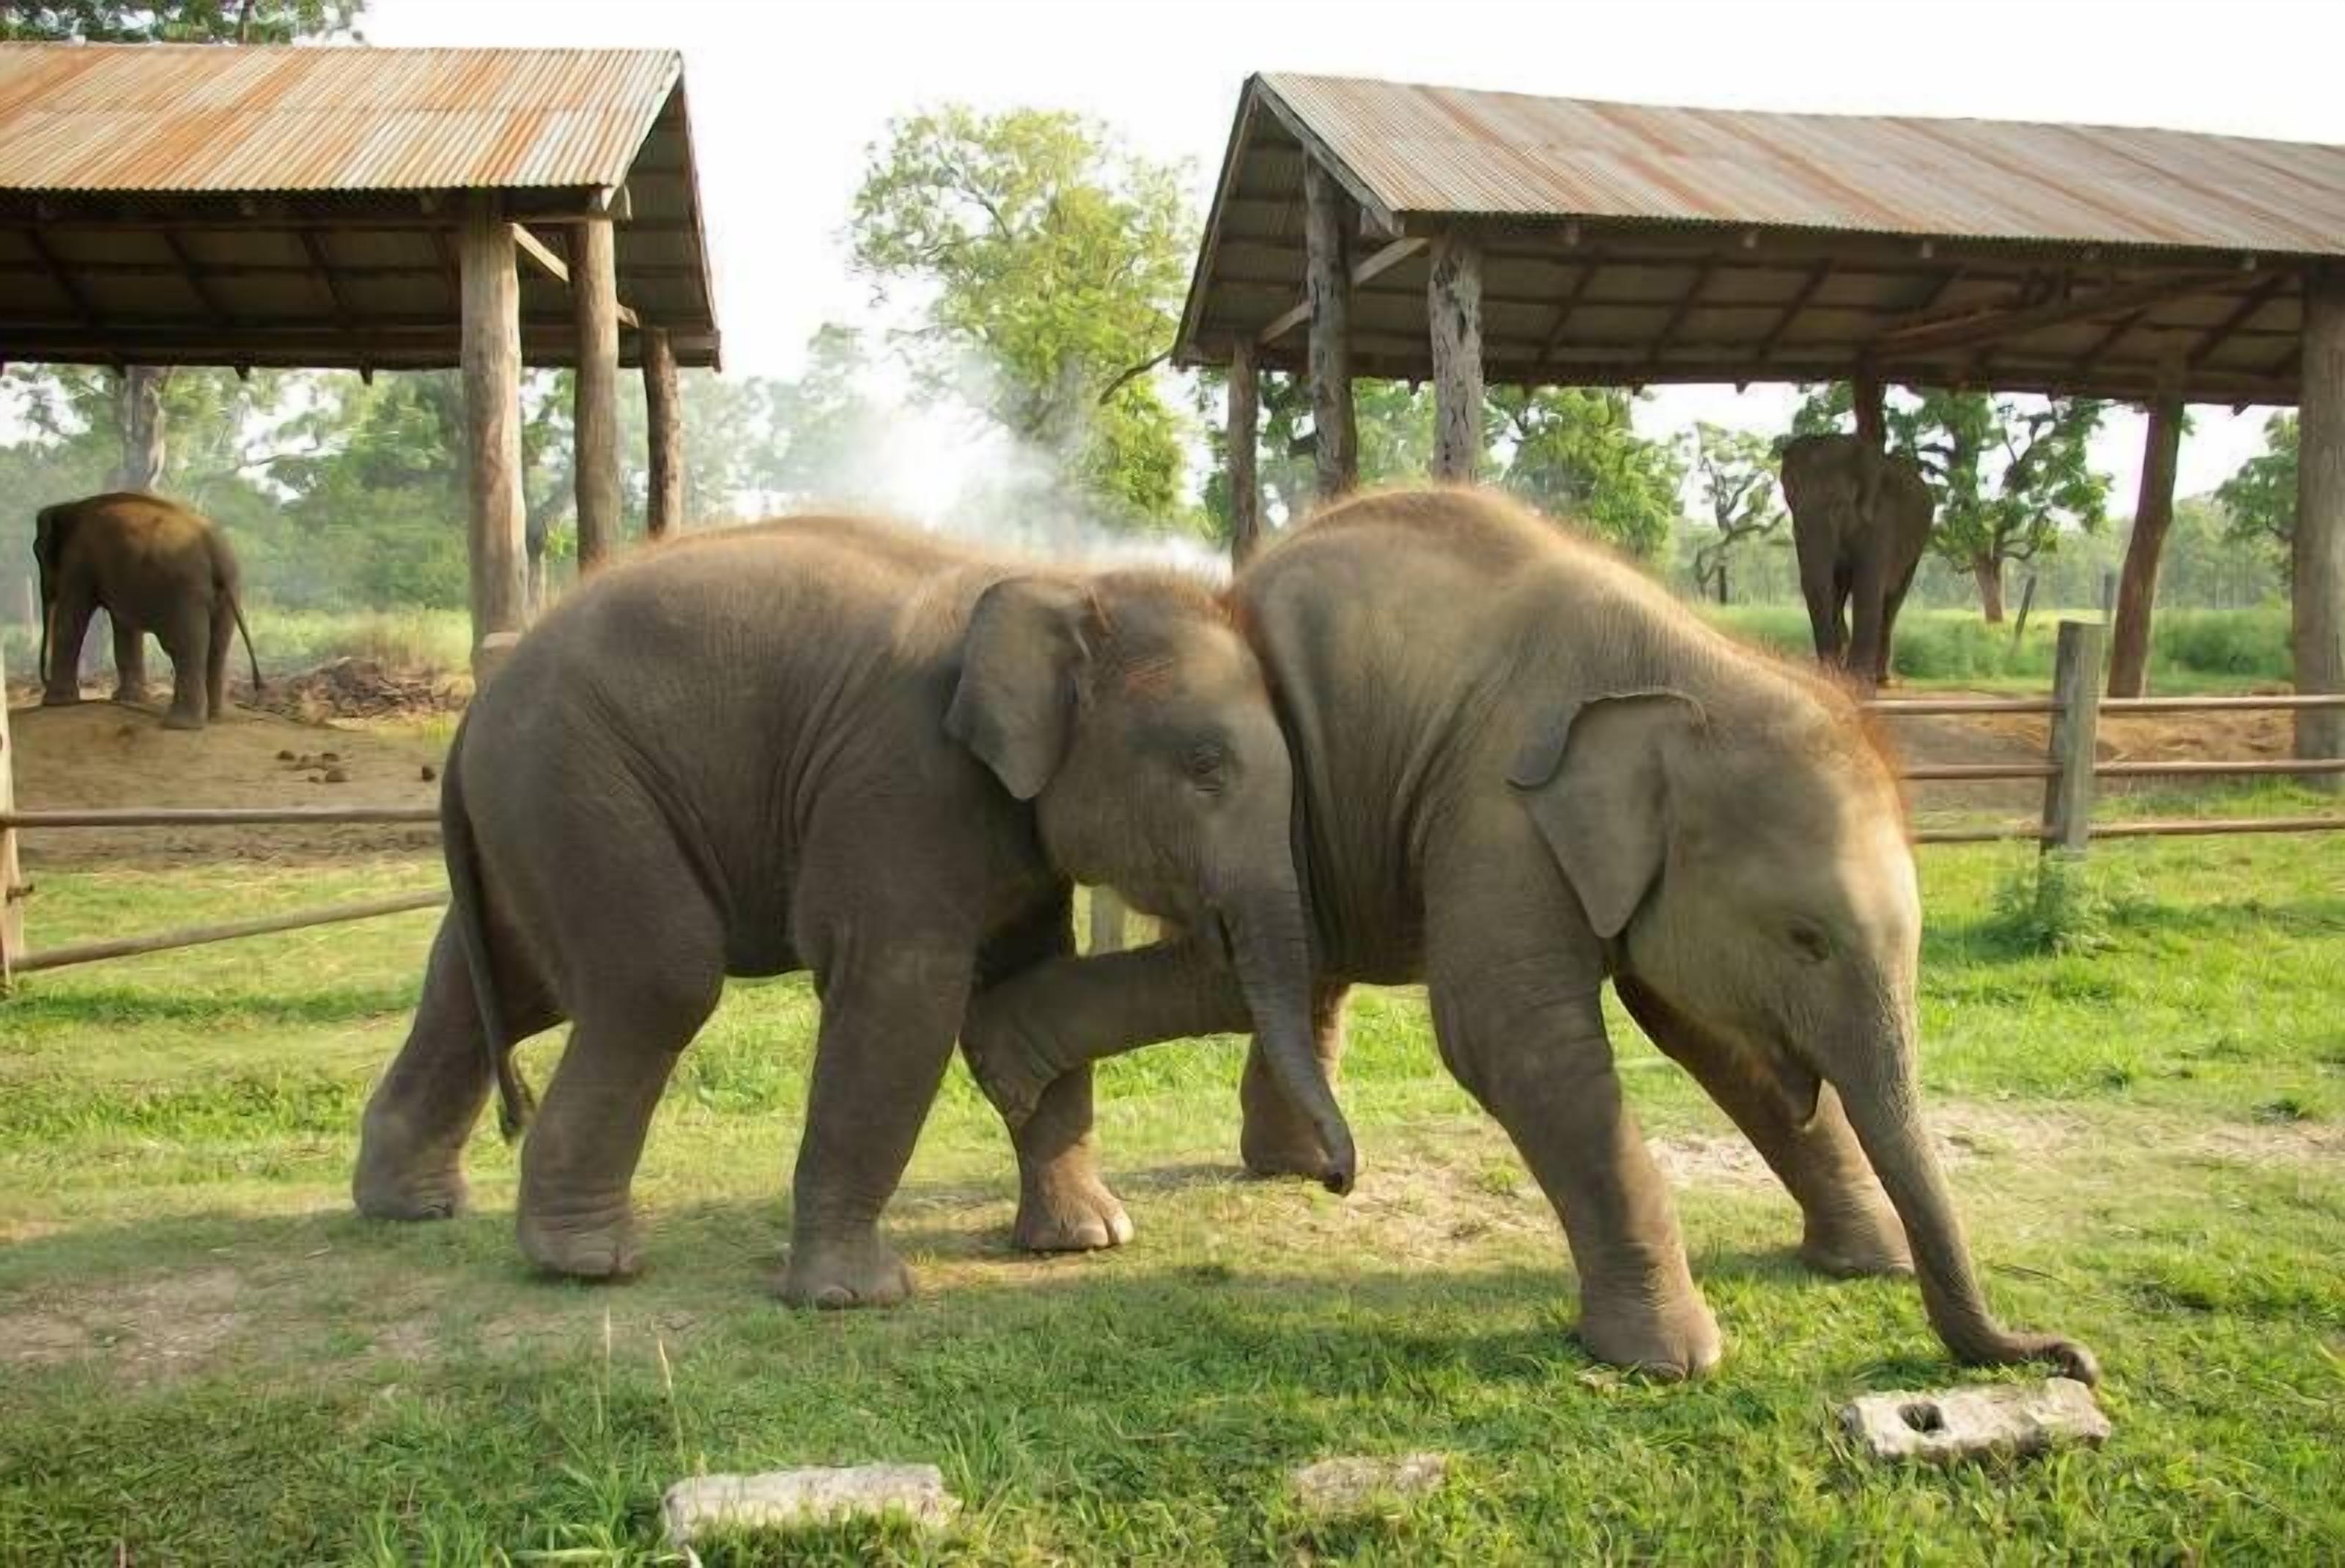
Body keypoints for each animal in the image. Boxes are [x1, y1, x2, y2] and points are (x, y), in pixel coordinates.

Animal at [34, 492, 260, 730]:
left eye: (37, 551)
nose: (43, 680)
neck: (72, 506)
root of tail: (215, 550)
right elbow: (125, 627)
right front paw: (129, 699)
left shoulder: (79, 561)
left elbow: (72, 620)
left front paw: (55, 704)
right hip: (228, 592)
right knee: (216, 648)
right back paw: (214, 718)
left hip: (186, 592)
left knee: (183, 645)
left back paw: (179, 724)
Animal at [351, 516, 1350, 1308]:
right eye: (1205, 767)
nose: (1335, 1178)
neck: (1061, 580)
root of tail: (473, 710)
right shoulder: (902, 783)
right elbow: (900, 997)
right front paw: (854, 1297)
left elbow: (1034, 973)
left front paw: (1087, 1242)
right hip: (578, 784)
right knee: (656, 983)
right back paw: (588, 1263)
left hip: (533, 816)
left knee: (505, 985)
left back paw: (413, 1206)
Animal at [964, 487, 2096, 1385]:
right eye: (1805, 937)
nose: (2068, 1354)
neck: (1688, 675)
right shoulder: (1500, 804)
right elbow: (1511, 1037)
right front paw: (1672, 1362)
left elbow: (1703, 1034)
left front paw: (1866, 1264)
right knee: (1258, 961)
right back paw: (1028, 1061)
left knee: (1285, 968)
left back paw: (1277, 1161)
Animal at [1780, 434, 1934, 687]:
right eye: (1790, 500)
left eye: (1838, 504)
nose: (1830, 668)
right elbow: (1831, 584)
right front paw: (1834, 674)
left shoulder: (1881, 522)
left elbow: (1868, 586)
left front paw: (1855, 681)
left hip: (1918, 546)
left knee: (1892, 602)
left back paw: (1880, 679)